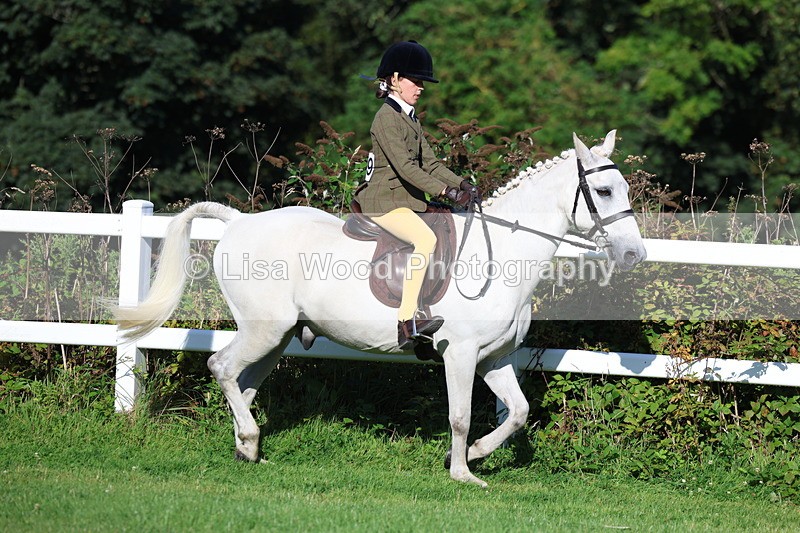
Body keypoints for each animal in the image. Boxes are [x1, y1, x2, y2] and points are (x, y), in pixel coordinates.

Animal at [114, 130, 646, 487]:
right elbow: (460, 415)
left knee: (242, 383)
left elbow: (516, 413)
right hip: (264, 330)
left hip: (277, 337)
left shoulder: (493, 358)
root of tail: (239, 221)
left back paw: (248, 448)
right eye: (603, 192)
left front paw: (473, 455)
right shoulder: (460, 355)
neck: (503, 256)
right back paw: (248, 438)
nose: (634, 255)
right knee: (221, 367)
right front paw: (462, 474)